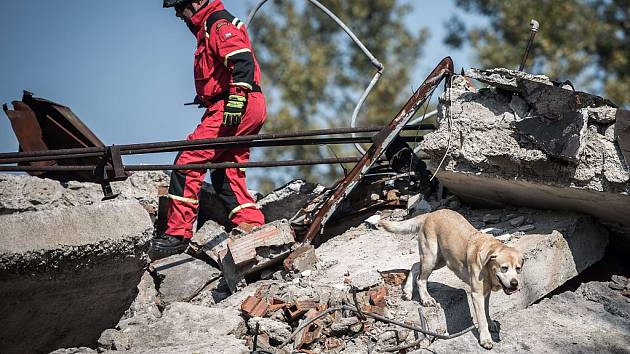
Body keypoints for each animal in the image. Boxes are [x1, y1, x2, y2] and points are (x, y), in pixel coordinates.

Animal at [382, 209, 524, 350]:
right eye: (504, 268)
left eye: (518, 268)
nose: (514, 284)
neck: (487, 264)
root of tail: (430, 214)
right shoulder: (477, 294)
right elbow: (481, 318)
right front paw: (485, 338)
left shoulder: (486, 293)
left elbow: (486, 311)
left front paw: (490, 322)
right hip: (431, 257)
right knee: (420, 279)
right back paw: (426, 298)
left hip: (440, 259)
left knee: (415, 266)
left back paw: (407, 291)